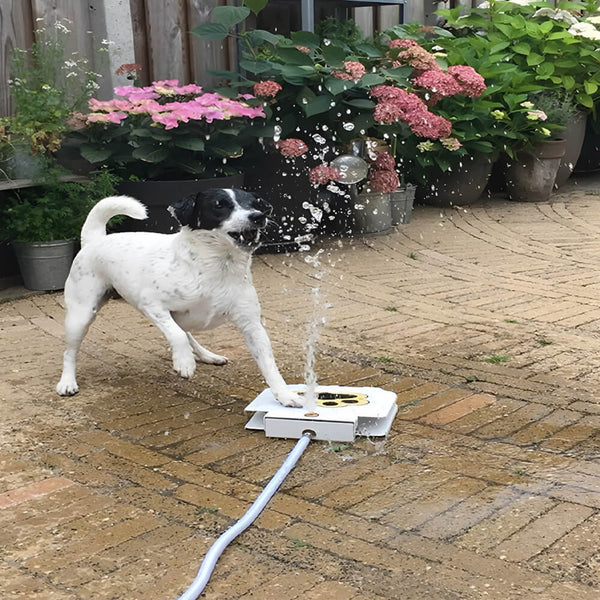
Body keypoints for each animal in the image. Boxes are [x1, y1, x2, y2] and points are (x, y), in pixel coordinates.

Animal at [55, 188, 304, 408]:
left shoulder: (252, 325)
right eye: (219, 205)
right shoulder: (152, 305)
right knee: (69, 352)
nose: (258, 216)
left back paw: (207, 355)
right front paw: (184, 362)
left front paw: (284, 395)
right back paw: (67, 382)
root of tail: (94, 240)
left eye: (255, 204)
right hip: (80, 317)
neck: (215, 268)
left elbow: (269, 366)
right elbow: (177, 335)